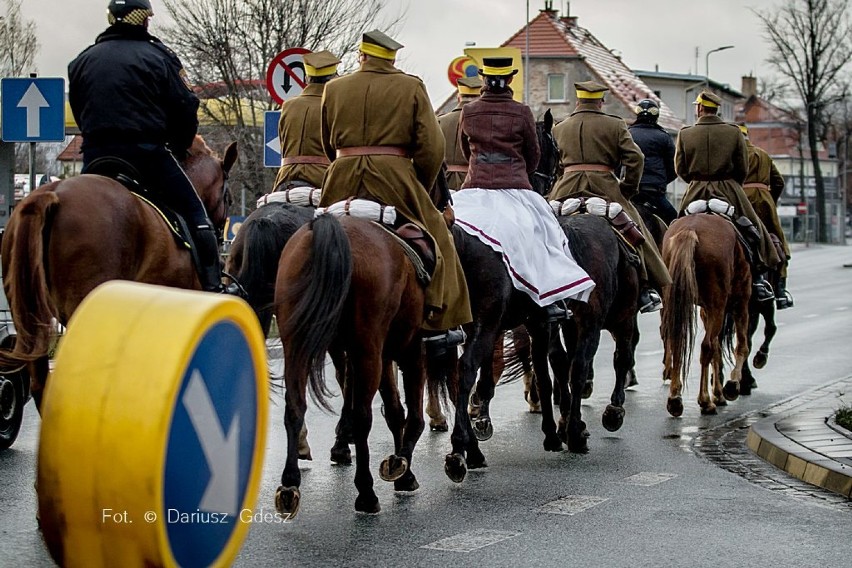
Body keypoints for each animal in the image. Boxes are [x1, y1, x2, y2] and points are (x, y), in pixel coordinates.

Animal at [274, 213, 446, 516]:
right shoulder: (410, 349)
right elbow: (412, 415)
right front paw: (401, 467)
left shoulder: (382, 355)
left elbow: (394, 411)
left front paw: (402, 470)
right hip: (368, 351)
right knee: (362, 416)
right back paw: (366, 492)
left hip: (298, 346)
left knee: (295, 408)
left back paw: (289, 485)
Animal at [664, 213, 748, 418]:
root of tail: (690, 230)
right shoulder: (740, 302)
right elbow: (742, 346)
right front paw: (732, 385)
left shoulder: (706, 310)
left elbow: (718, 349)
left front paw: (719, 393)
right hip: (719, 304)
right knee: (706, 346)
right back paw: (704, 401)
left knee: (677, 342)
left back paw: (675, 399)